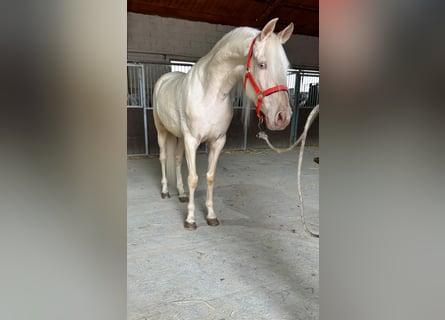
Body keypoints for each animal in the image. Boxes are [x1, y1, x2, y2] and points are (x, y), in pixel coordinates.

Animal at [153, 18, 294, 230]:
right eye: (262, 64)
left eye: (286, 67)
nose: (283, 117)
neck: (210, 93)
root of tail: (165, 79)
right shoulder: (192, 140)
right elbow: (193, 178)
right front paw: (190, 219)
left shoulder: (217, 141)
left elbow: (210, 177)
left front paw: (211, 216)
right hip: (162, 131)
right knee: (163, 158)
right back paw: (164, 191)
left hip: (178, 136)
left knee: (176, 159)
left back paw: (181, 194)